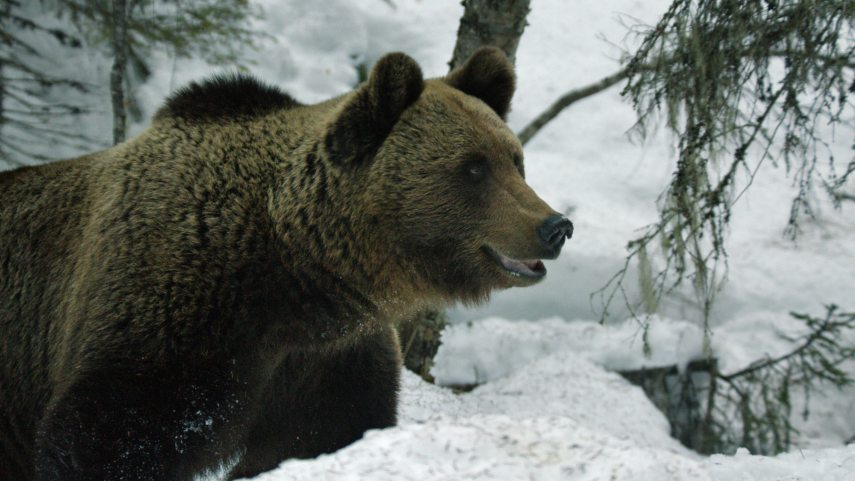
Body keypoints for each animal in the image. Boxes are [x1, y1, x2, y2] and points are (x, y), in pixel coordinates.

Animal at [1, 47, 576, 480]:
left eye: (515, 161)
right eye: (473, 168)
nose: (555, 226)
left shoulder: (327, 356)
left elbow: (322, 433)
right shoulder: (168, 316)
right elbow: (109, 435)